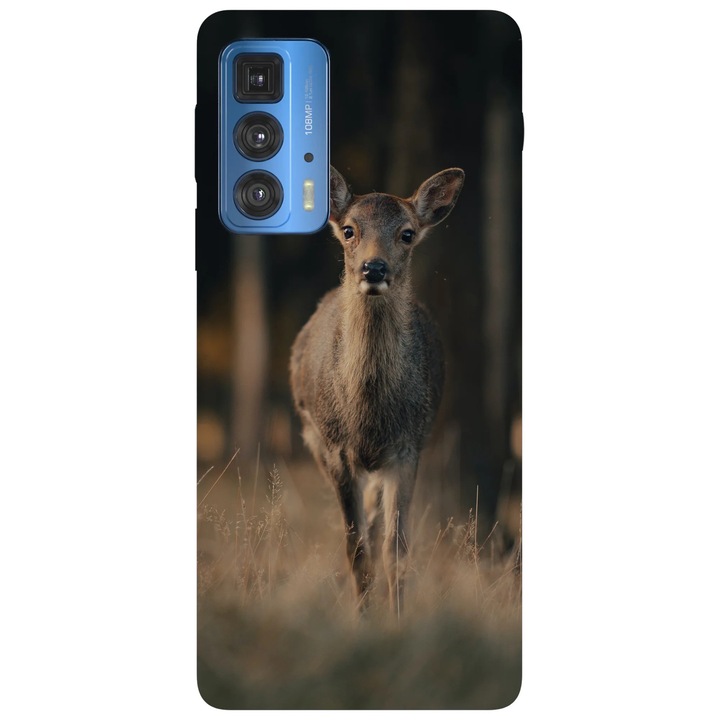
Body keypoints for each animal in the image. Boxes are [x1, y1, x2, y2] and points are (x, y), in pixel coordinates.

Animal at [290, 165, 464, 614]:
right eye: (350, 230)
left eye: (407, 233)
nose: (374, 268)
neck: (369, 416)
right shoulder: (335, 448)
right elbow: (356, 548)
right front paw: (362, 618)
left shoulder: (408, 447)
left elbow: (396, 549)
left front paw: (396, 618)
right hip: (313, 438)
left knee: (374, 520)